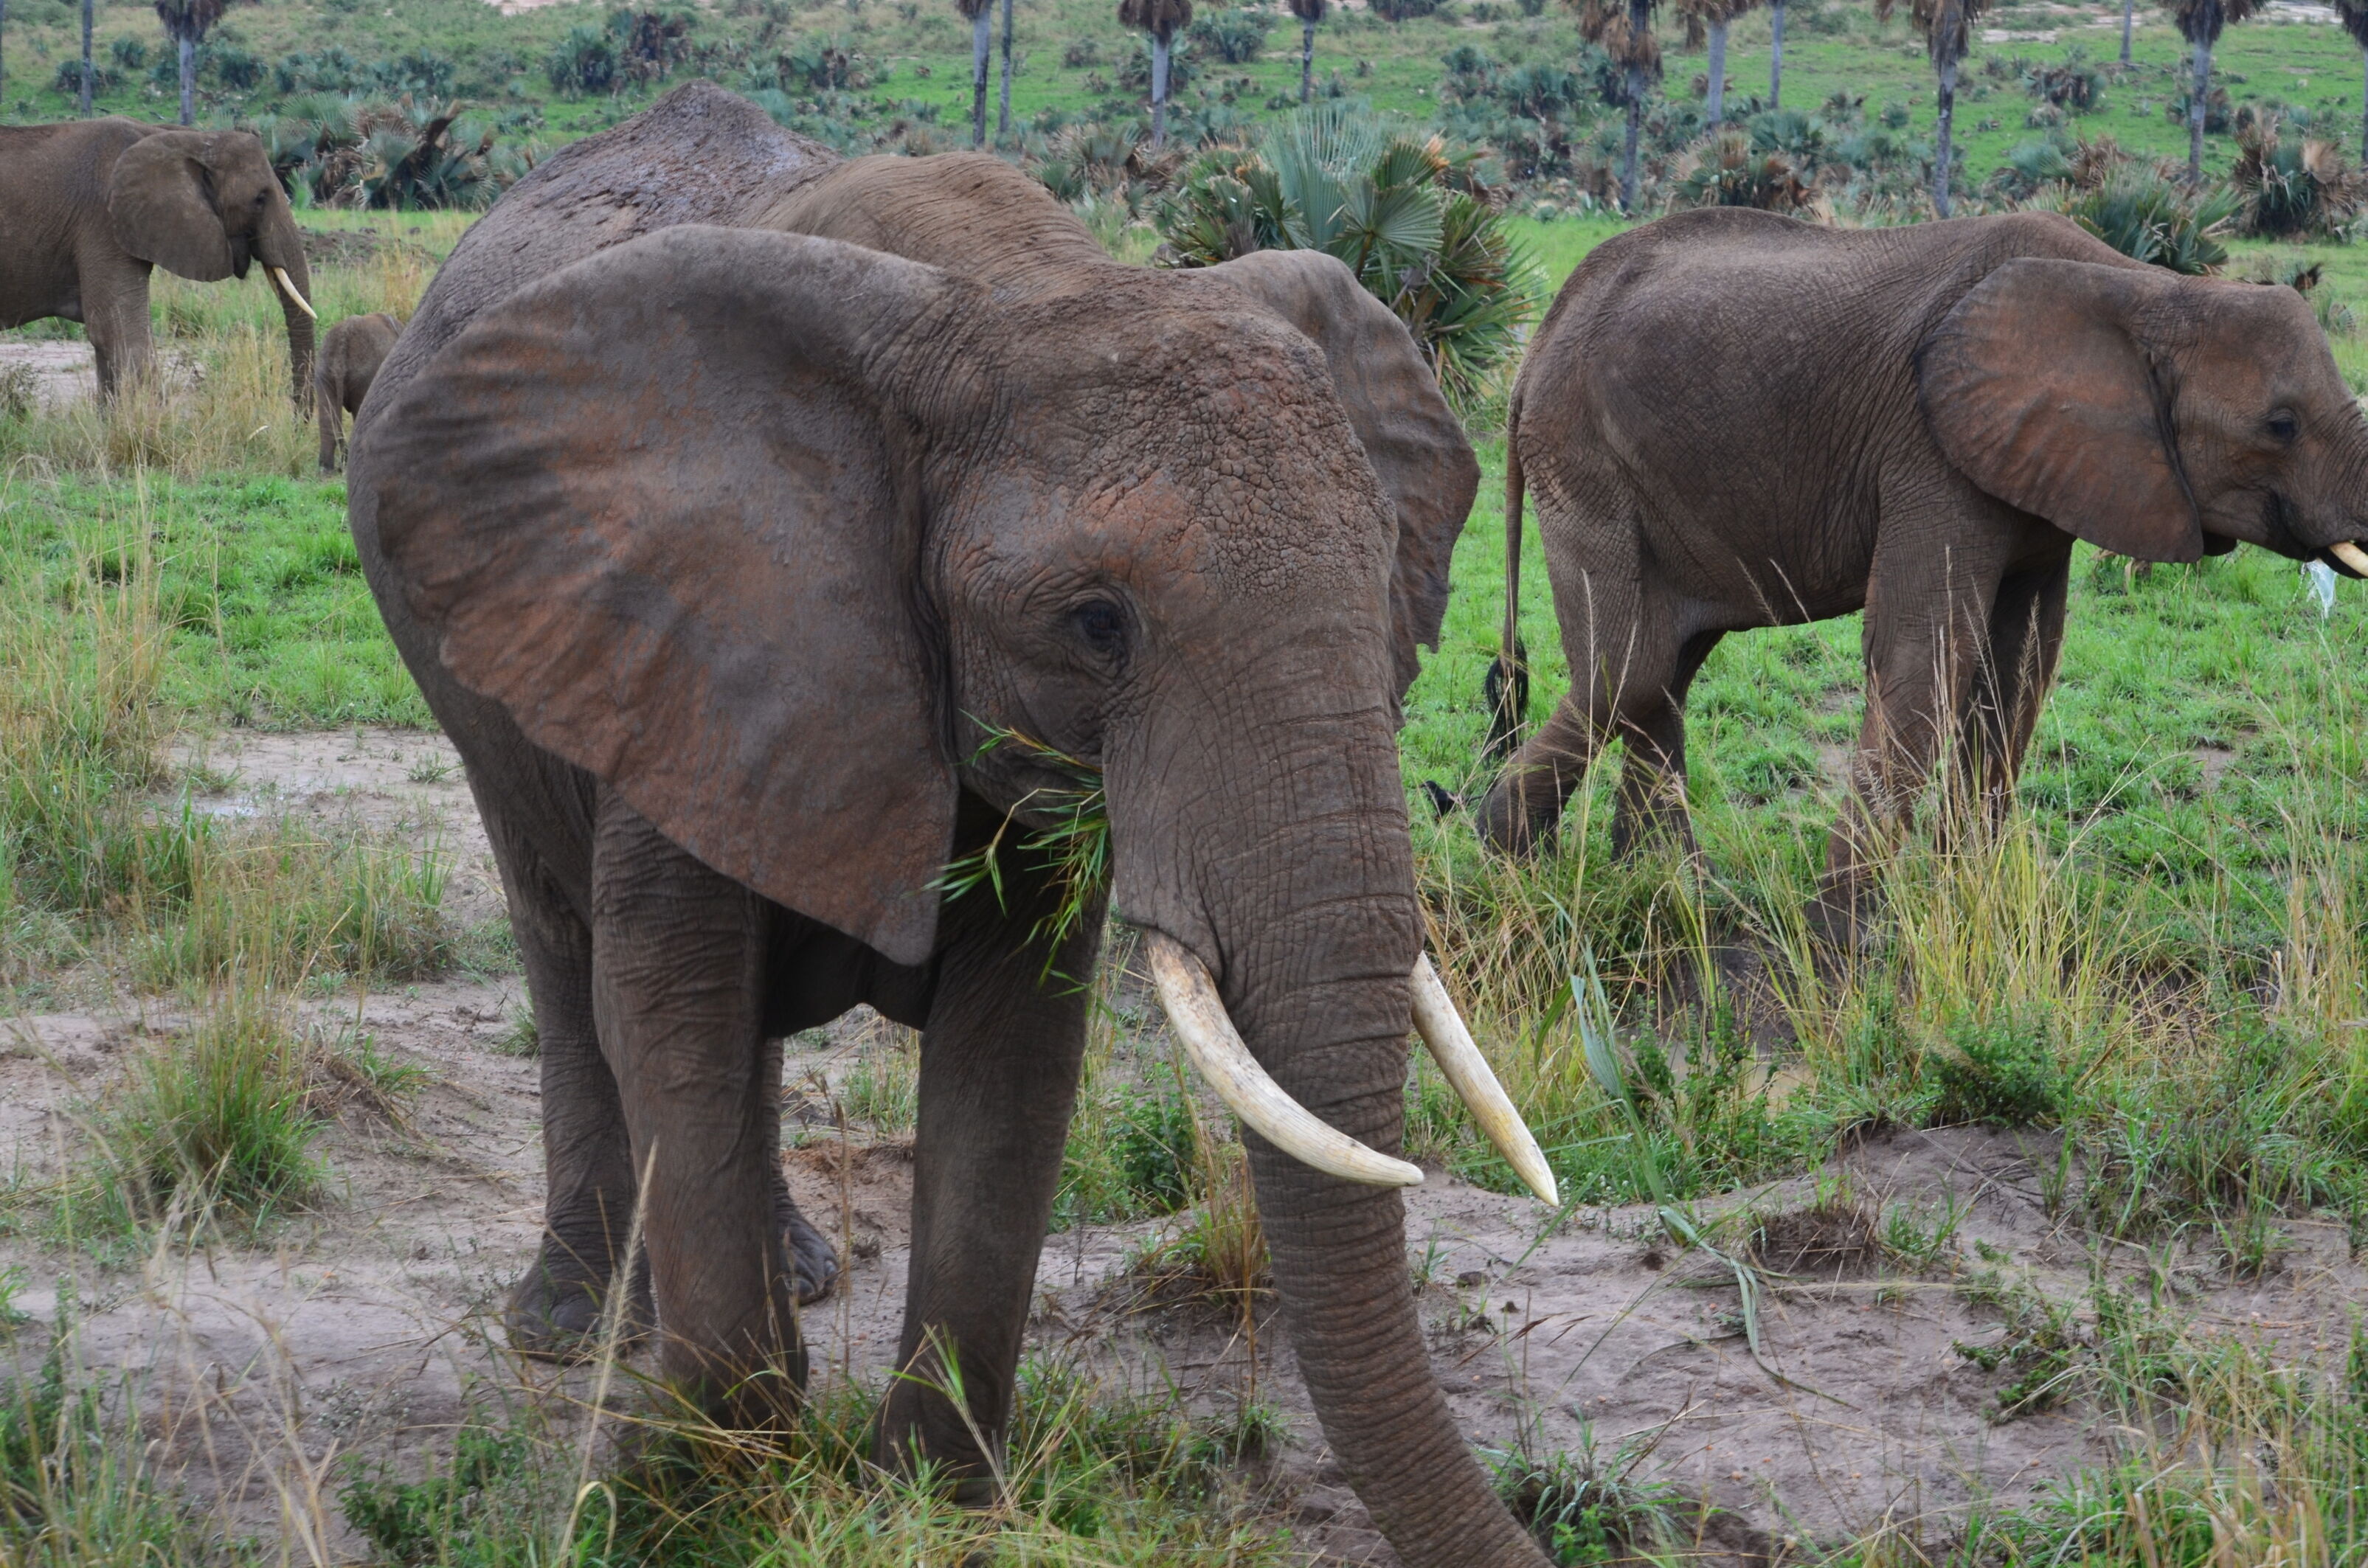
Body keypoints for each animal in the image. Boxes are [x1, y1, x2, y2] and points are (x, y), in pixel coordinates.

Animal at [350, 82, 1563, 1567]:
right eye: (1096, 623)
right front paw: (716, 1487)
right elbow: (670, 1009)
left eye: (1388, 578)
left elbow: (1016, 1050)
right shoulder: (691, 622)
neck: (1015, 291)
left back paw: (796, 1279)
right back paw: (578, 1329)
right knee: (563, 942)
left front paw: (934, 1495)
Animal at [1476, 208, 2368, 930]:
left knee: (1665, 667)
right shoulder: (1932, 453)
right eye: (2281, 425)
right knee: (1631, 671)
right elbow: (1925, 651)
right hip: (1582, 459)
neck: (2151, 288)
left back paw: (1672, 889)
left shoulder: (2042, 472)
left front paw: (1968, 899)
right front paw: (1843, 940)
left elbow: (2021, 668)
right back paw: (1508, 858)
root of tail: (1533, 349)